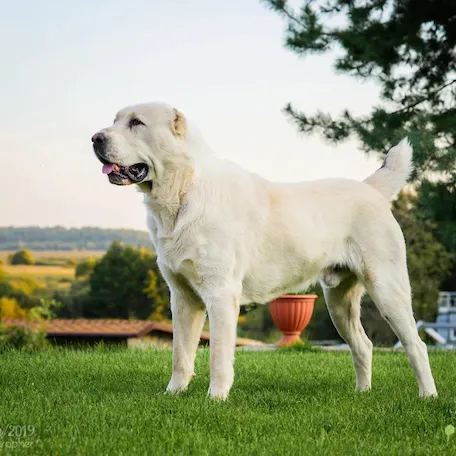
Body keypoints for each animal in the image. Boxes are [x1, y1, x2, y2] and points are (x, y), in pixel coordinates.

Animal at [92, 102, 438, 400]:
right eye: (115, 120)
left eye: (136, 123)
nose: (95, 138)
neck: (182, 193)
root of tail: (370, 188)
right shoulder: (182, 297)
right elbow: (180, 353)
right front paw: (173, 395)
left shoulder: (220, 294)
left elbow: (218, 355)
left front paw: (215, 399)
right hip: (338, 302)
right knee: (363, 345)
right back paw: (362, 394)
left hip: (388, 290)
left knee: (416, 345)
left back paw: (428, 396)